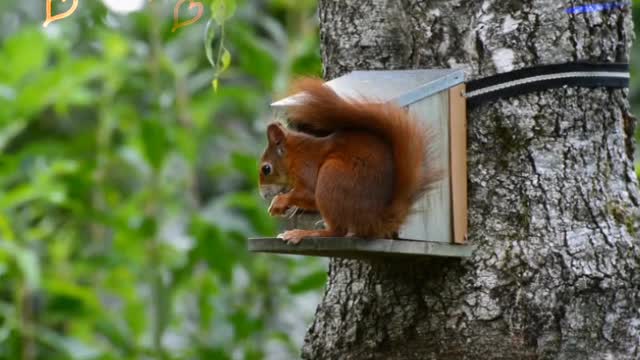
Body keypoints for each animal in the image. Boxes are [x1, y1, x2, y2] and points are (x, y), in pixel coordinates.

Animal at [256, 79, 440, 245]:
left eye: (266, 169)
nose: (262, 195)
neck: (296, 155)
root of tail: (375, 221)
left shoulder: (307, 167)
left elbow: (307, 193)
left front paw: (280, 202)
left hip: (331, 177)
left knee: (337, 231)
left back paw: (304, 233)